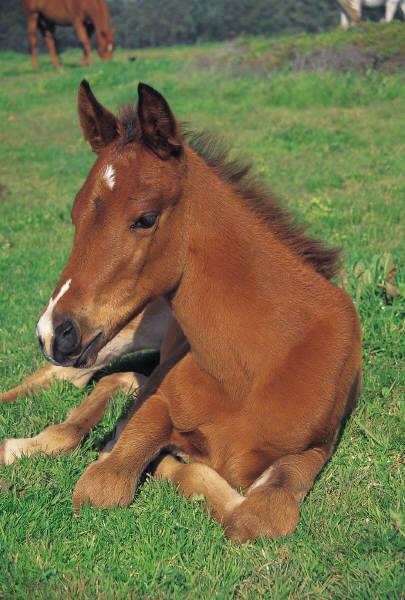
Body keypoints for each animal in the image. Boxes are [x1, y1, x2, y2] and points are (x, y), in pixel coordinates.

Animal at [0, 81, 360, 544]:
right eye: (76, 215)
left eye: (145, 218)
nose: (53, 331)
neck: (255, 366)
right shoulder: (158, 406)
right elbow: (106, 483)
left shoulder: (312, 450)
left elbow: (257, 517)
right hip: (123, 329)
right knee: (71, 374)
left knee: (103, 377)